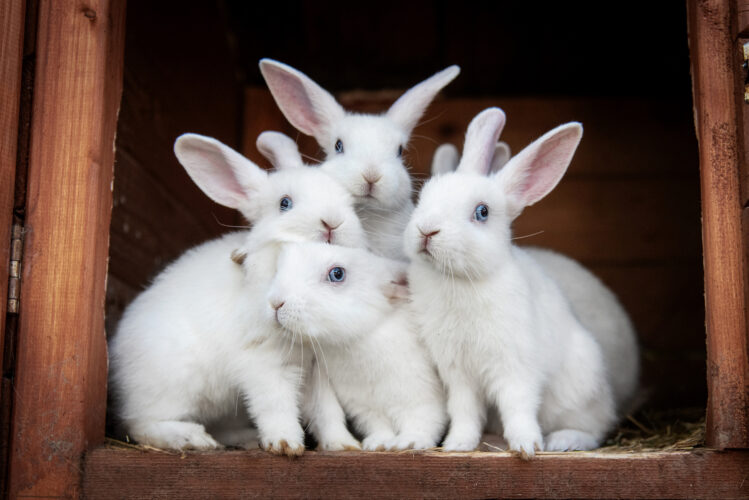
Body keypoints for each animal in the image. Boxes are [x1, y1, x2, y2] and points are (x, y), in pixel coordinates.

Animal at [108, 133, 366, 456]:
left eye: (350, 203)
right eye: (285, 203)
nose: (332, 222)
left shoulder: (318, 370)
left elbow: (327, 411)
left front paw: (344, 445)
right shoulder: (264, 362)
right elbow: (276, 405)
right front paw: (285, 444)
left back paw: (245, 438)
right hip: (172, 384)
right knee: (139, 423)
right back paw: (191, 438)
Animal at [267, 241, 448, 451]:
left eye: (337, 274)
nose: (276, 303)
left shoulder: (421, 398)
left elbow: (423, 422)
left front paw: (408, 443)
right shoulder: (365, 408)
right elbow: (379, 426)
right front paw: (378, 444)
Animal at [404, 107, 639, 458]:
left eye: (482, 212)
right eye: (423, 198)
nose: (426, 230)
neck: (460, 281)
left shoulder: (514, 366)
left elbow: (517, 406)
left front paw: (527, 446)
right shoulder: (458, 375)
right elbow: (464, 411)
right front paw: (457, 445)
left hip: (580, 389)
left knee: (596, 426)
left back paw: (563, 440)